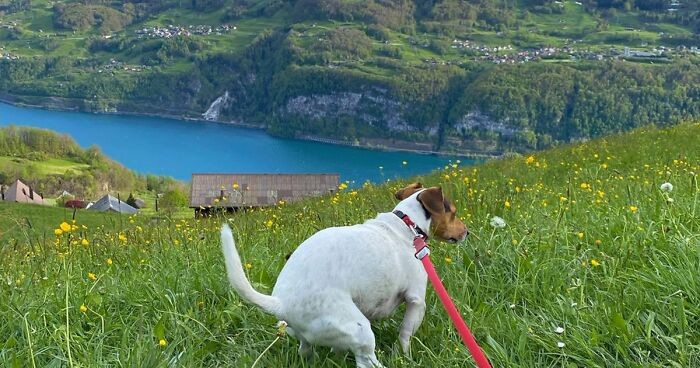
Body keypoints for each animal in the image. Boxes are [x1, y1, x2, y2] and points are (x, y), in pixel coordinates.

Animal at [221, 183, 468, 366]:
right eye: (454, 212)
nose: (466, 231)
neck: (407, 224)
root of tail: (281, 303)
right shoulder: (416, 300)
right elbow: (405, 335)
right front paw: (406, 357)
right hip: (360, 330)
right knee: (366, 361)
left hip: (308, 335)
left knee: (306, 351)